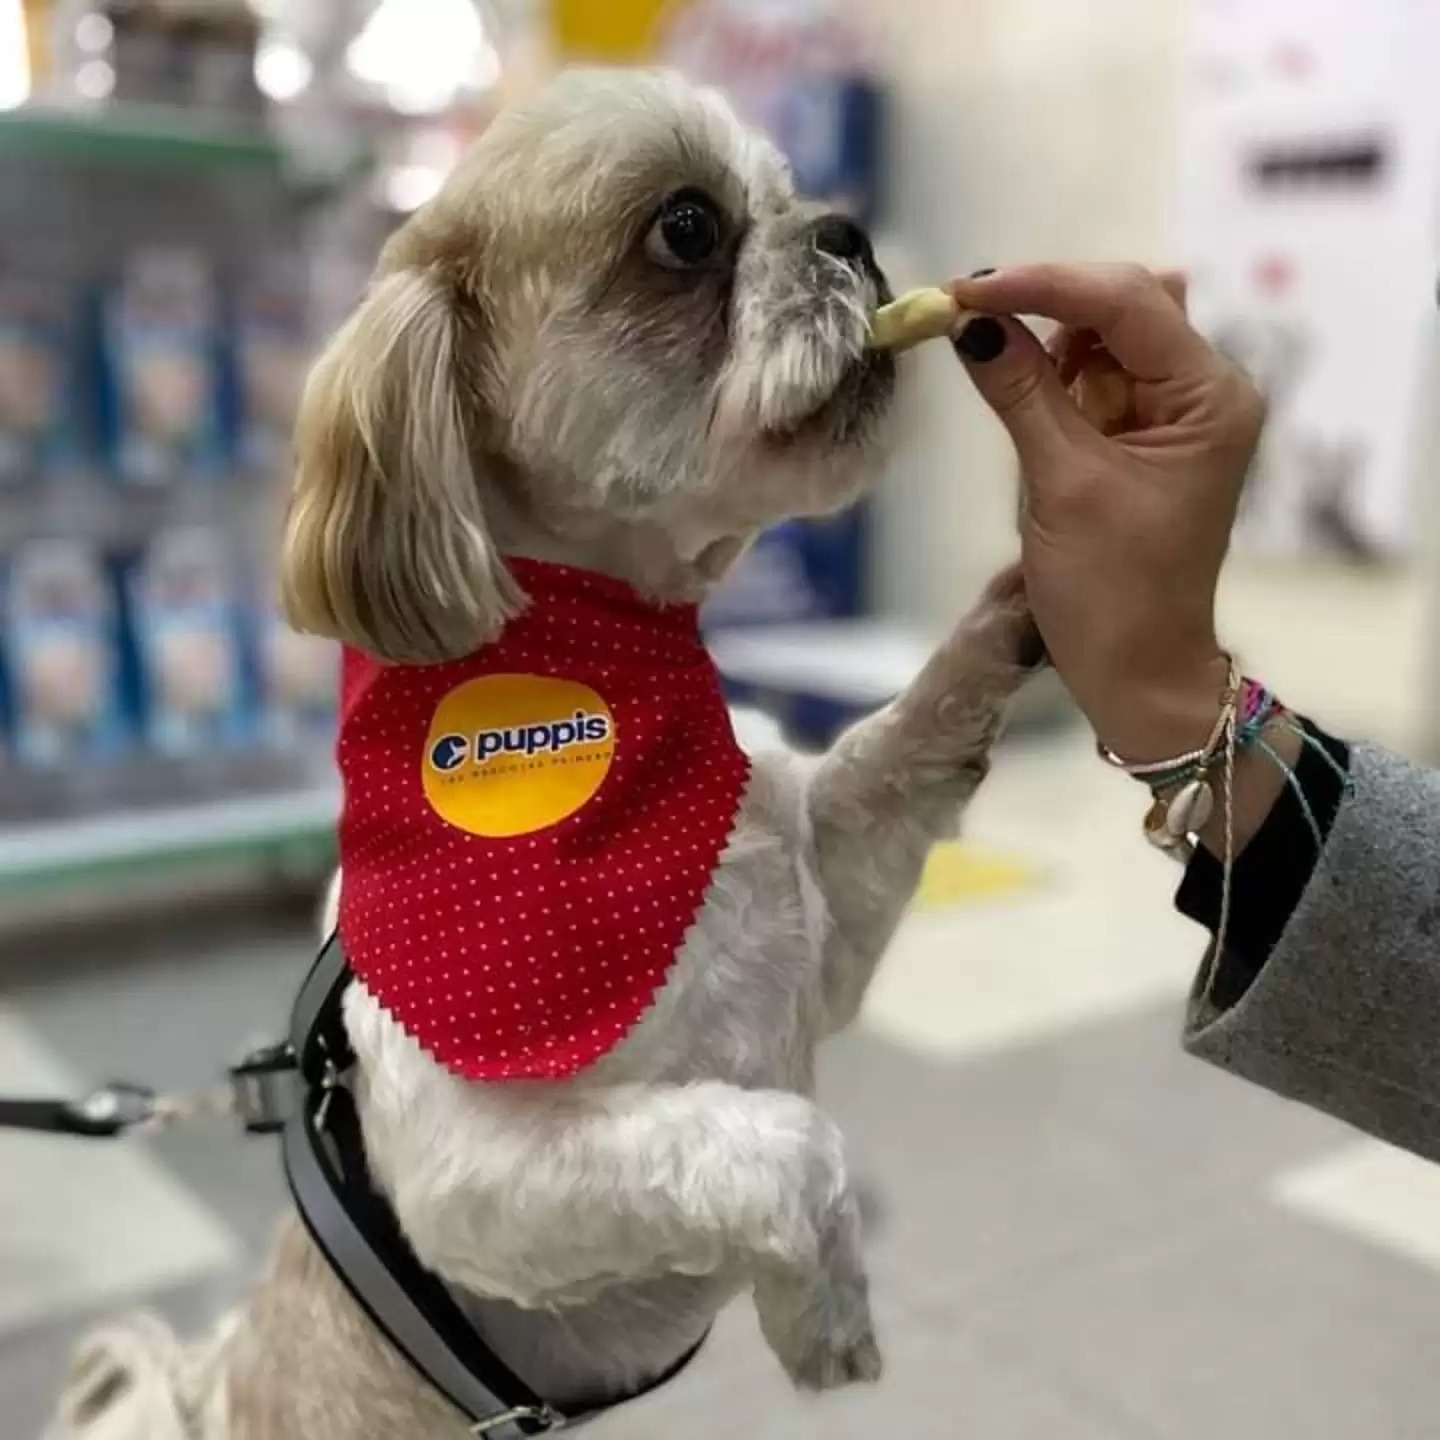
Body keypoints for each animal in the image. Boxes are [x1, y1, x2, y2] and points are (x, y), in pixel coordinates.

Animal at [47, 67, 1036, 1440]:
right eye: (688, 228)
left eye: (792, 194)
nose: (849, 232)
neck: (615, 714)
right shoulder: (489, 1172)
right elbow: (788, 1145)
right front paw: (824, 1312)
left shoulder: (818, 926)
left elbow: (886, 761)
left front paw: (1019, 609)